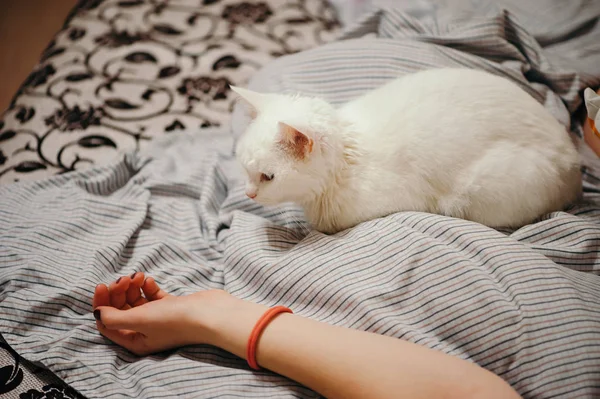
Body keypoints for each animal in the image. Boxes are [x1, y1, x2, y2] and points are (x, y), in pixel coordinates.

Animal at [233, 69, 580, 234]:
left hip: (480, 193)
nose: (249, 193)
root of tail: (572, 155)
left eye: (267, 177)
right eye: (244, 169)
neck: (349, 159)